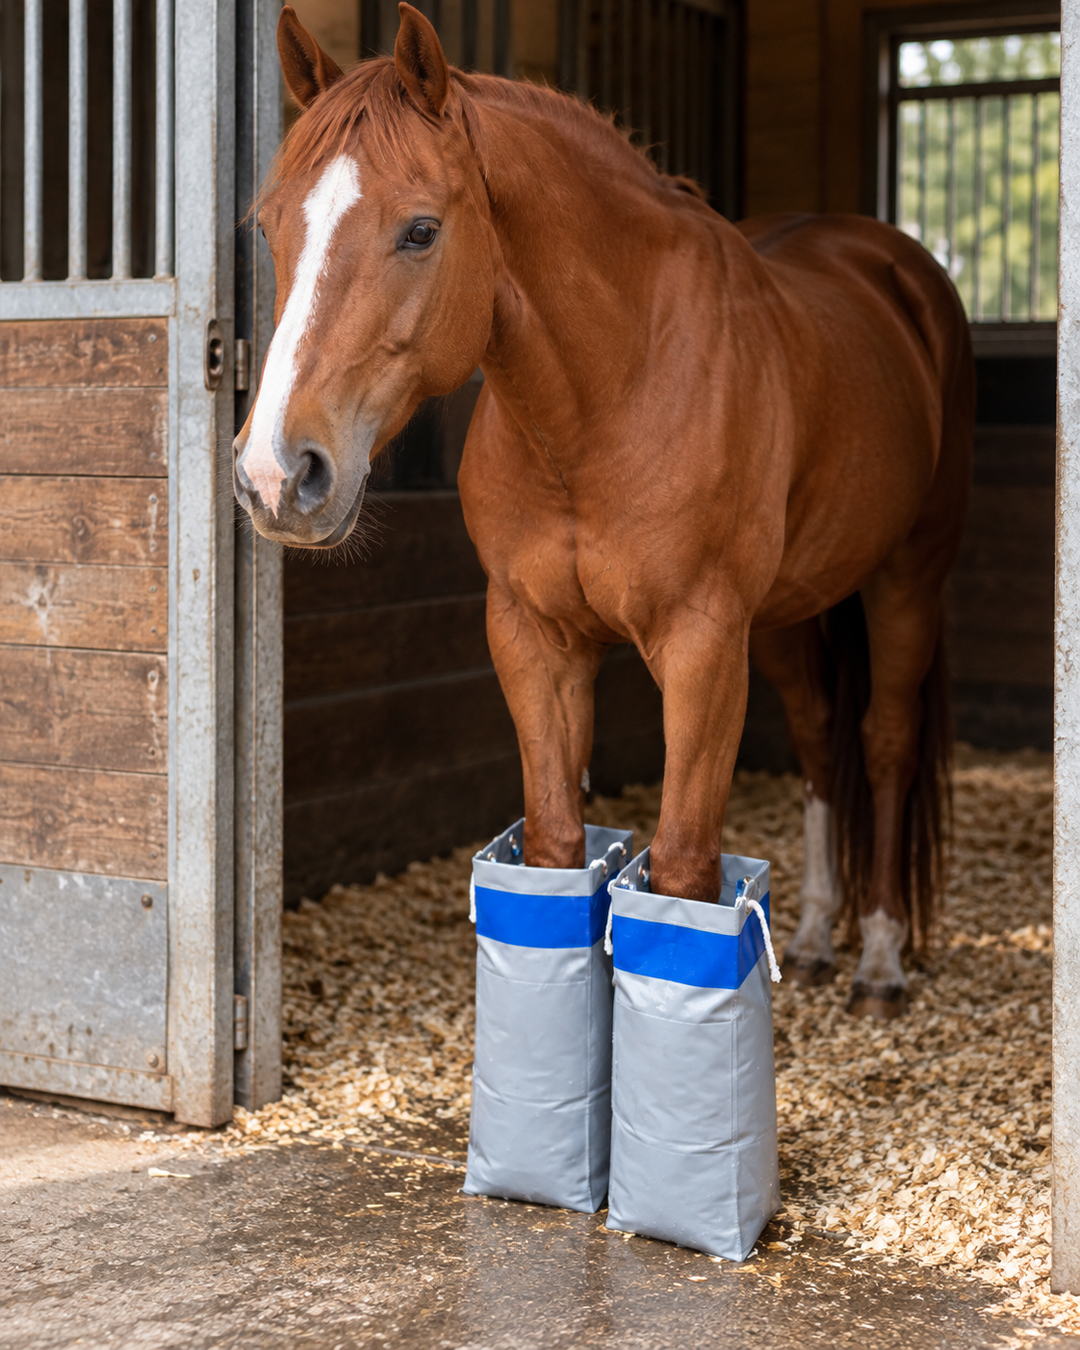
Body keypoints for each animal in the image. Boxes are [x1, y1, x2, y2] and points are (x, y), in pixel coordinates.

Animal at [234, 3, 973, 1020]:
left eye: (420, 231)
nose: (277, 474)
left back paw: (882, 959)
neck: (606, 395)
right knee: (825, 739)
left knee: (886, 742)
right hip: (788, 612)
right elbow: (552, 847)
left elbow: (688, 872)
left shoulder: (704, 647)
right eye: (269, 226)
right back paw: (819, 935)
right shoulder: (534, 637)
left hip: (908, 576)